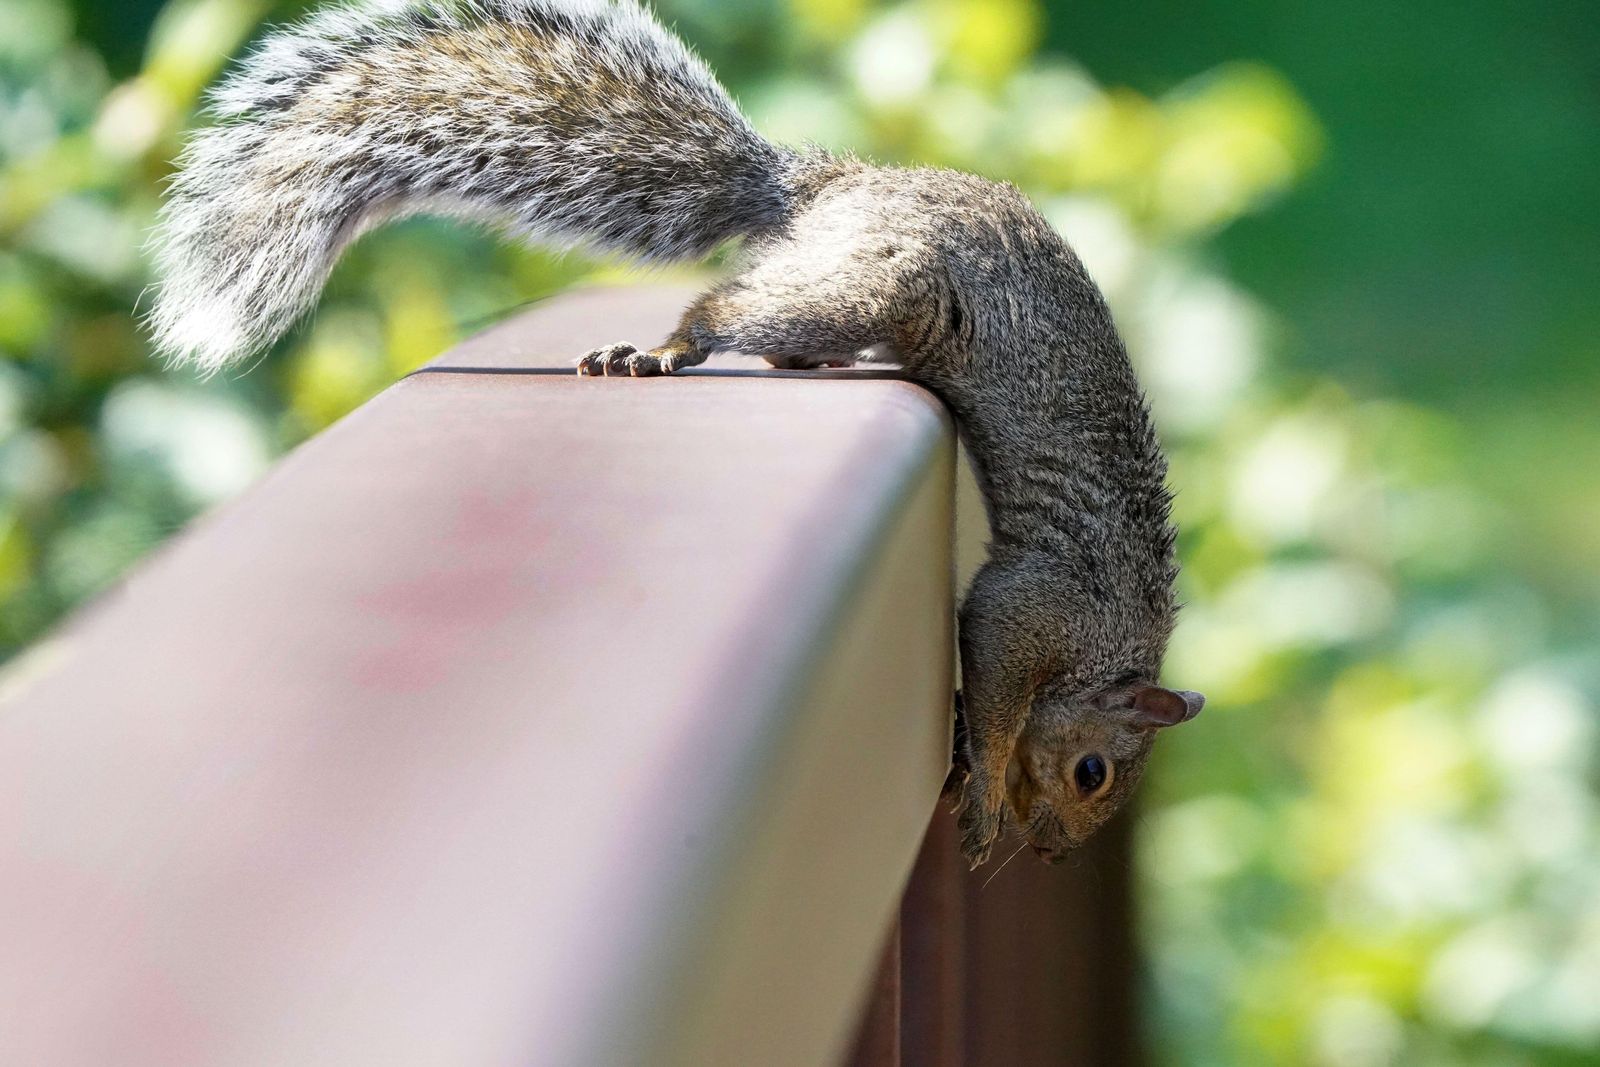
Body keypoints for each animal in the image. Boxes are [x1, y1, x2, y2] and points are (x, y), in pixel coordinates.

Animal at [147, 0, 1207, 868]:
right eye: (1093, 773)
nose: (1052, 851)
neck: (1109, 640)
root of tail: (830, 183)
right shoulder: (1033, 606)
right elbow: (992, 678)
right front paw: (984, 789)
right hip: (874, 286)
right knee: (730, 307)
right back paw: (663, 348)